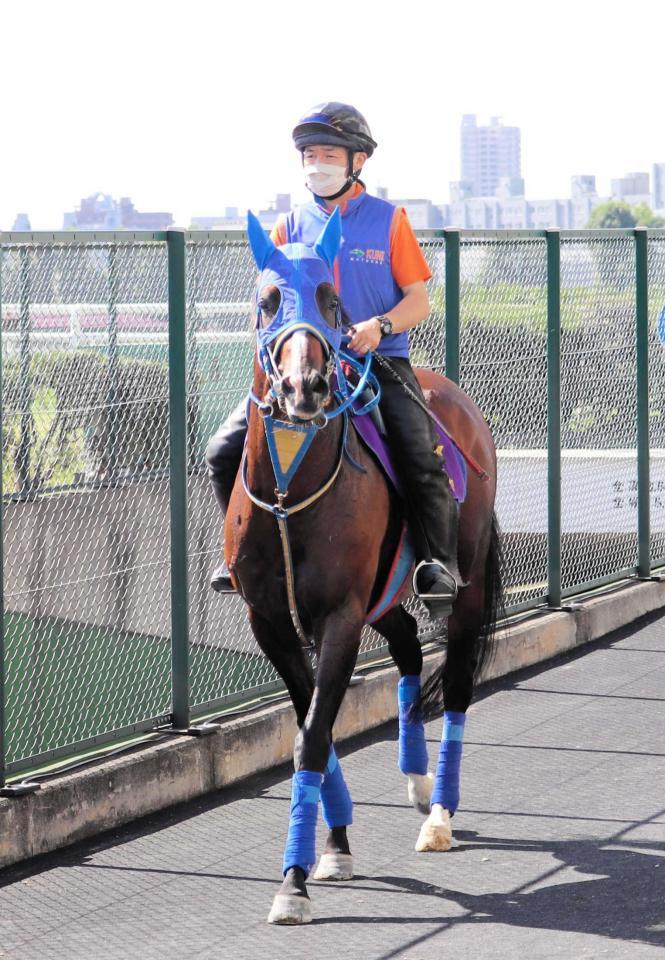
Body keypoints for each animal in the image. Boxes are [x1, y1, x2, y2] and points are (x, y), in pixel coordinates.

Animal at [220, 208, 500, 924]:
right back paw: (415, 777)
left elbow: (314, 736)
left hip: (463, 587)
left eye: (331, 300)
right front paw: (335, 846)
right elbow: (308, 726)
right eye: (269, 299)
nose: (306, 387)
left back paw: (439, 813)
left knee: (458, 686)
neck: (290, 492)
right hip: (384, 598)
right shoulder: (270, 619)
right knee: (407, 648)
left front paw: (293, 881)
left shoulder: (341, 617)